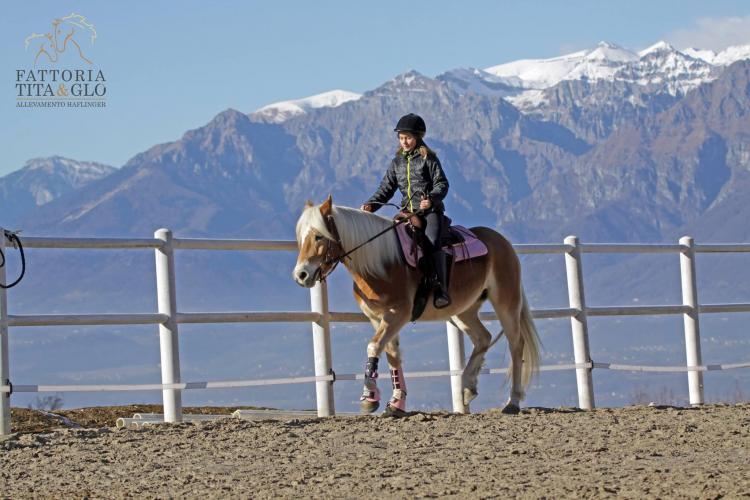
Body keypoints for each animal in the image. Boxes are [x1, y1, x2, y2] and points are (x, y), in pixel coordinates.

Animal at [293, 195, 541, 415]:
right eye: (301, 238)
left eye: (318, 236)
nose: (301, 275)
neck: (381, 262)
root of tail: (502, 242)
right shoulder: (377, 317)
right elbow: (391, 354)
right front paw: (394, 403)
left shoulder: (397, 313)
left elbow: (374, 347)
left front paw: (368, 397)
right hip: (464, 311)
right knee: (483, 338)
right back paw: (467, 388)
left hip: (506, 303)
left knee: (516, 345)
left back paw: (512, 402)